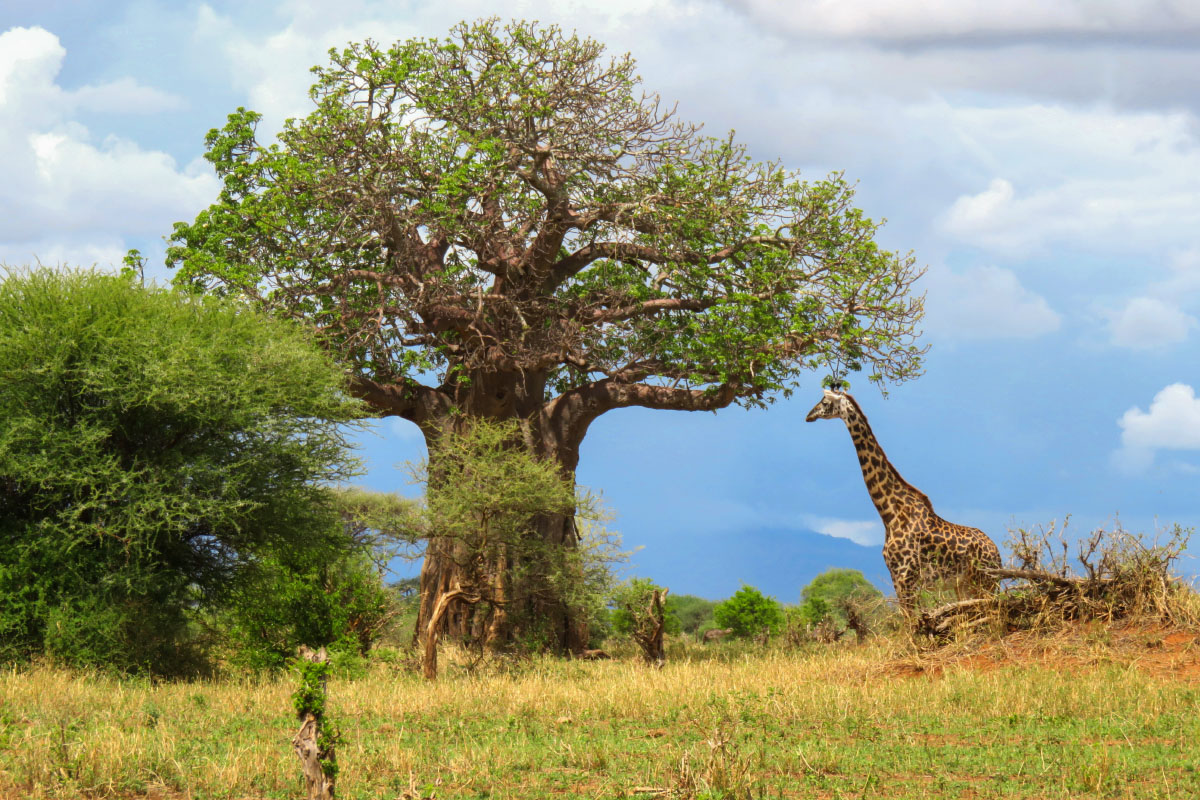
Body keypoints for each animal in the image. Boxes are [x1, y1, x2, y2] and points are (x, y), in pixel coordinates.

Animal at [806, 388, 1003, 614]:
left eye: (824, 401)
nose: (808, 415)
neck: (890, 514)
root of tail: (997, 553)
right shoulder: (896, 577)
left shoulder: (906, 577)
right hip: (964, 584)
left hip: (985, 582)